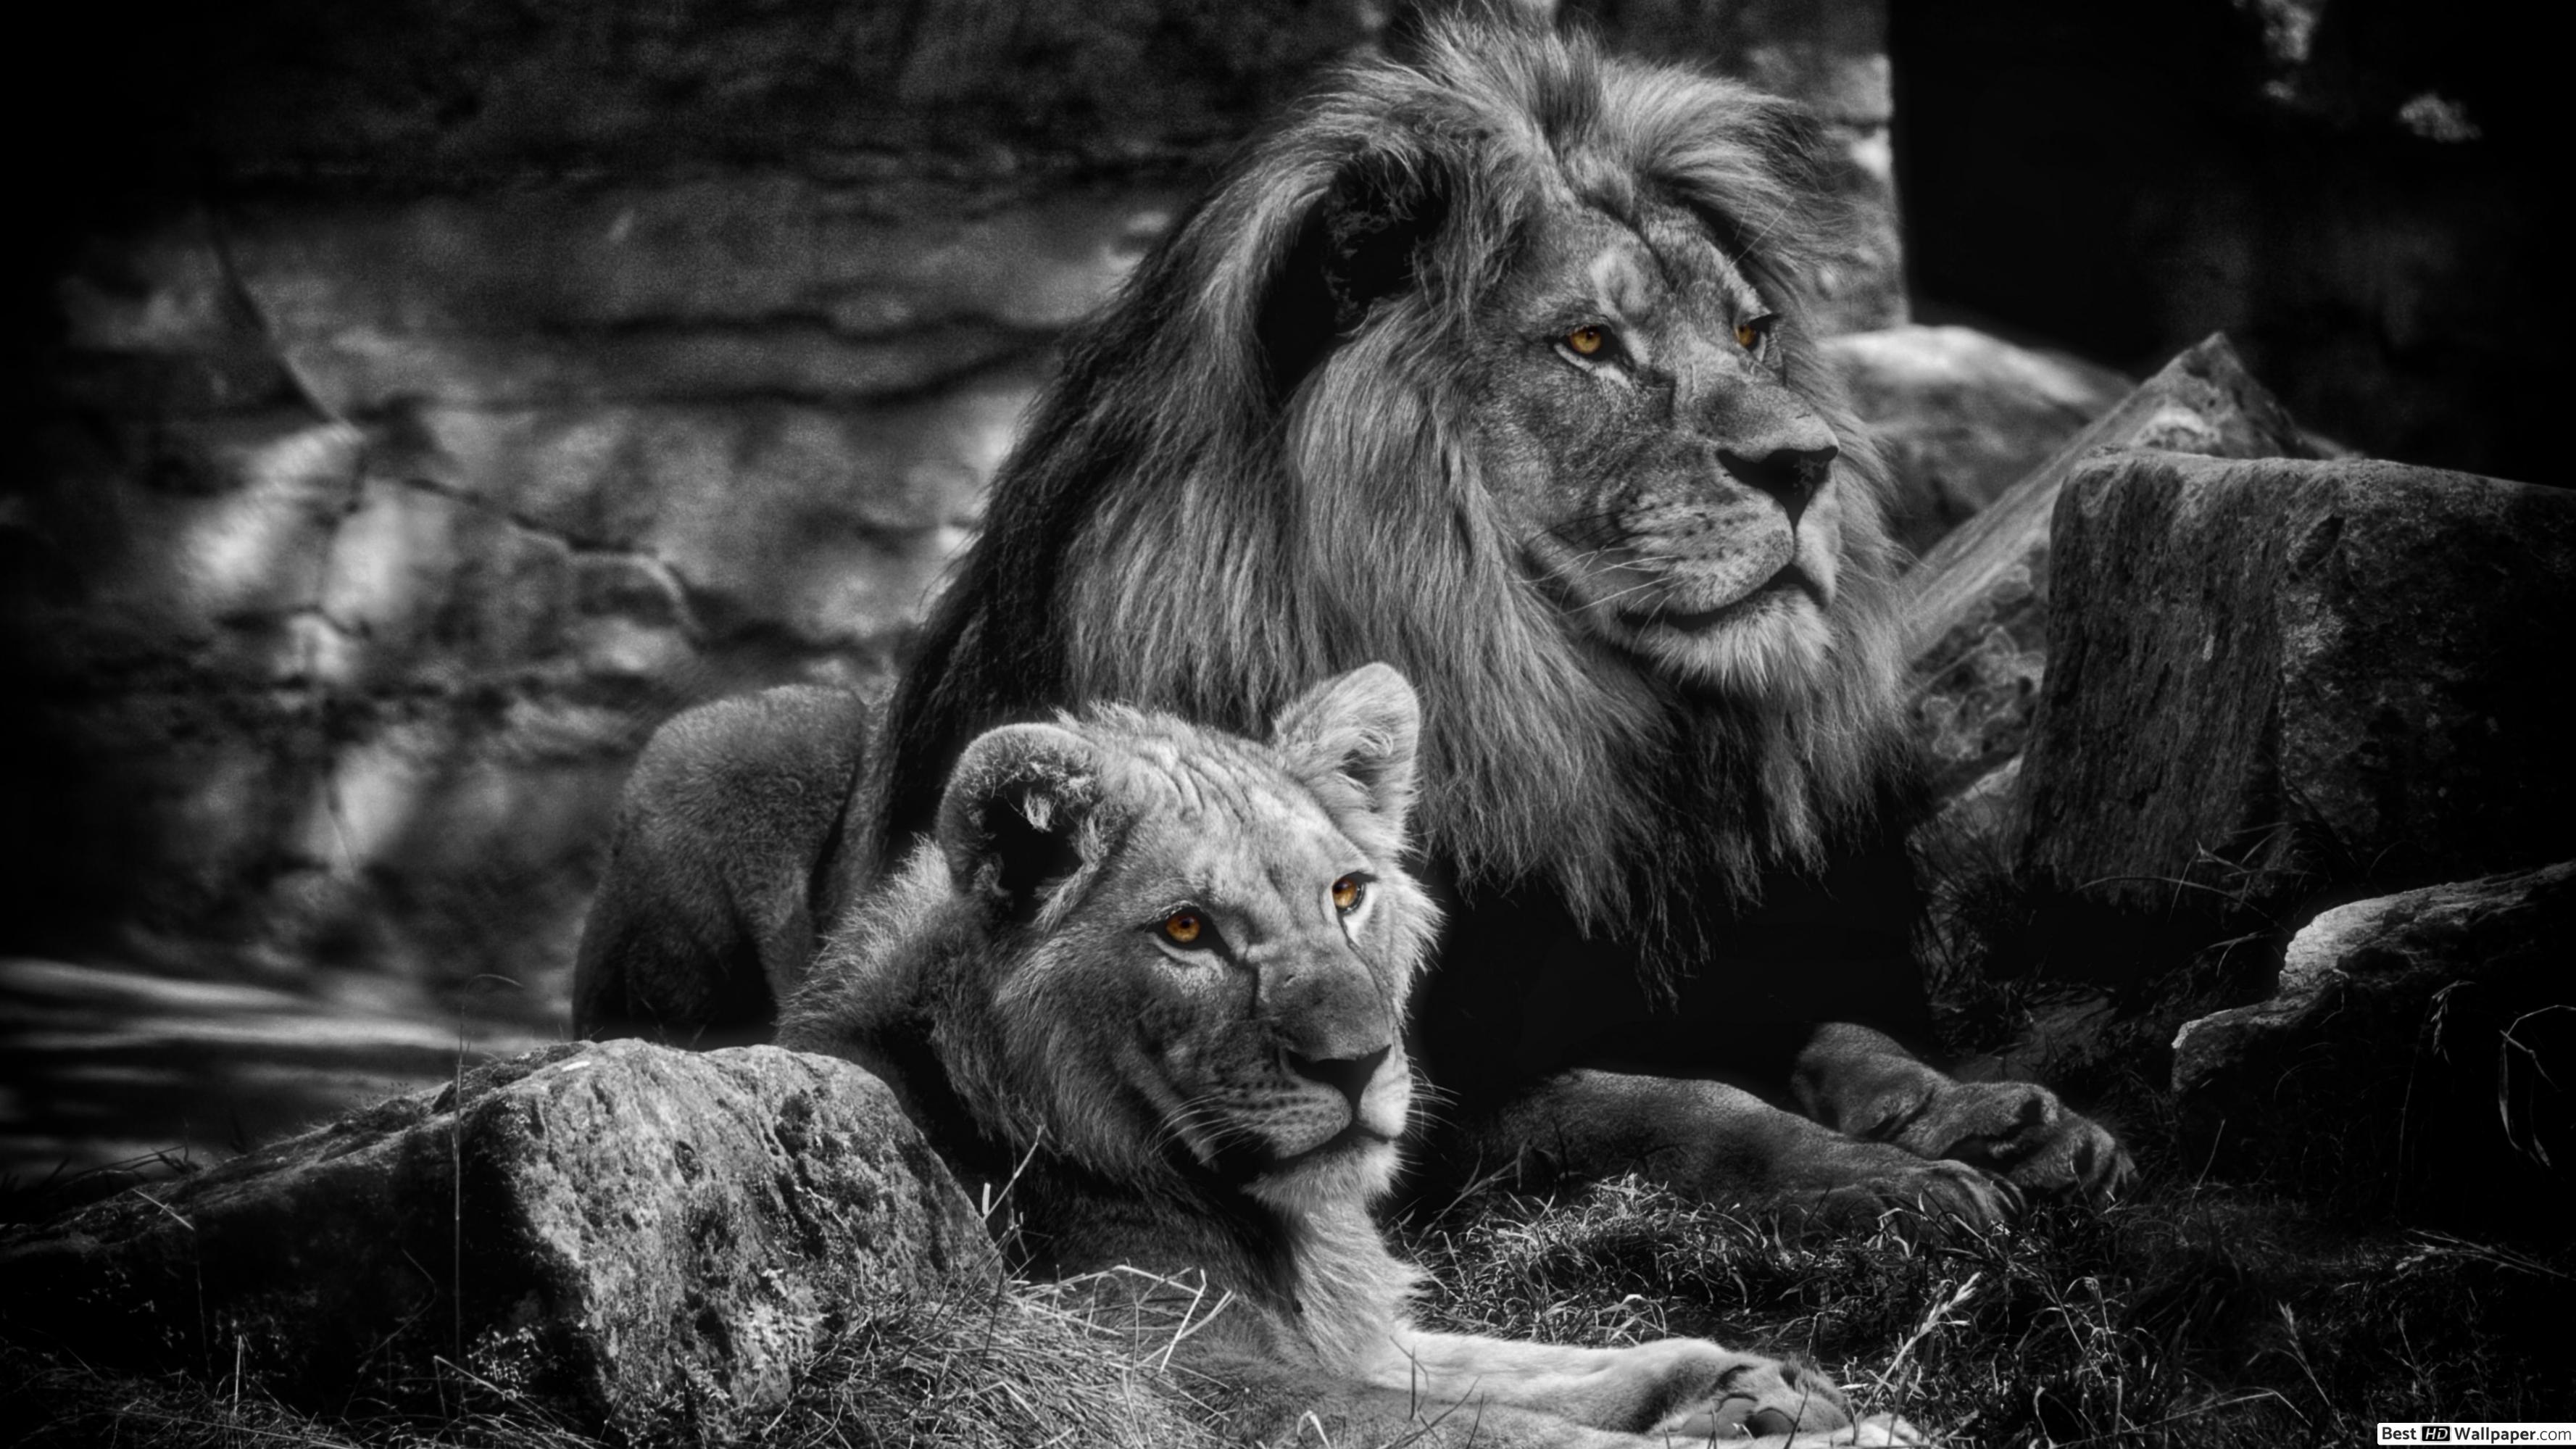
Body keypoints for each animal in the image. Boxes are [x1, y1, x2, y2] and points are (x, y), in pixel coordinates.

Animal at [576, 14, 2129, 1220]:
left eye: (1749, 333)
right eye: (1587, 343)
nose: (1806, 465)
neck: (1563, 721)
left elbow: (1839, 1033)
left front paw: (1986, 1109)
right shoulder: (1407, 1097)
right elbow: (1672, 1102)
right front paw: (1880, 1178)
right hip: (719, 739)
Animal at [778, 663, 1915, 1447]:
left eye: (1346, 893)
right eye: (1186, 930)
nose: (1360, 1062)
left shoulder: (1358, 1338)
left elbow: (1527, 1368)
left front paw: (1750, 1384)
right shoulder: (1159, 1378)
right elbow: (1502, 1430)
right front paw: (1837, 1430)